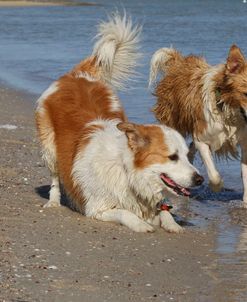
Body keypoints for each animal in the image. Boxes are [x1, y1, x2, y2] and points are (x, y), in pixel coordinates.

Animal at [35, 13, 204, 232]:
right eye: (172, 157)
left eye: (188, 156)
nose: (200, 179)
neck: (127, 171)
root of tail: (76, 76)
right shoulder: (98, 208)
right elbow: (125, 212)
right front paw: (141, 225)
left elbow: (164, 211)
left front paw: (173, 224)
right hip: (49, 146)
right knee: (55, 175)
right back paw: (54, 201)